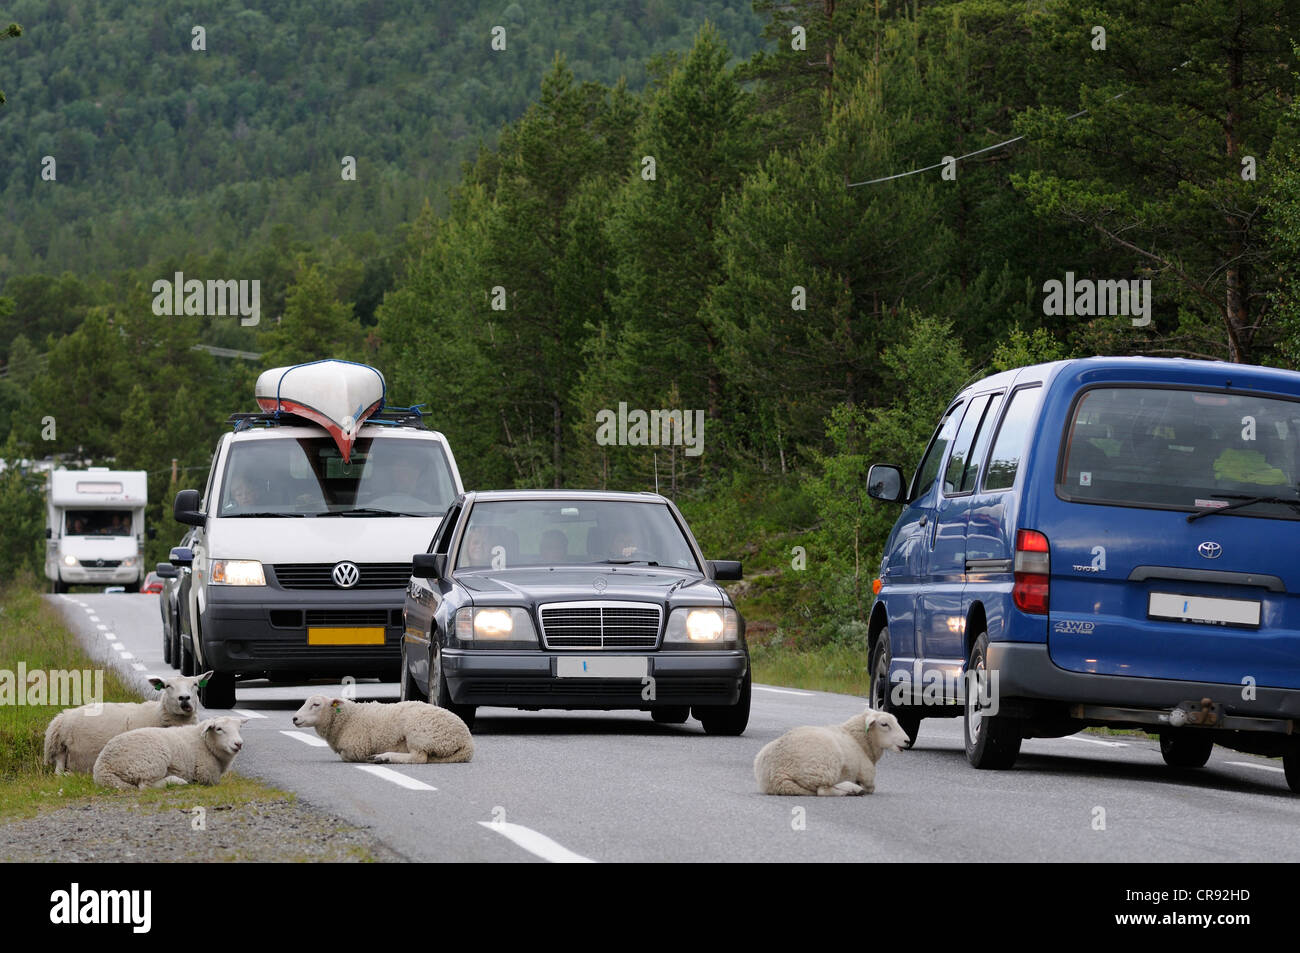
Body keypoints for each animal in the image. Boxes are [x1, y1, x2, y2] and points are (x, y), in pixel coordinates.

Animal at [43, 670, 211, 774]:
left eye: (195, 684)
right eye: (167, 686)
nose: (184, 698)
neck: (157, 713)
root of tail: (63, 716)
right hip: (58, 749)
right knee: (58, 770)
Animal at [92, 712, 248, 790]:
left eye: (239, 727)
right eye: (219, 729)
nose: (238, 744)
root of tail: (103, 766)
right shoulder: (207, 777)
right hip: (151, 762)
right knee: (146, 786)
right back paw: (177, 781)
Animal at [292, 691, 475, 764]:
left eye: (316, 704)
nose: (295, 718)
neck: (348, 718)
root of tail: (467, 741)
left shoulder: (357, 748)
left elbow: (347, 757)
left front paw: (369, 758)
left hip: (420, 734)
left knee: (418, 758)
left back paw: (384, 757)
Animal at [754, 707, 915, 795]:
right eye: (884, 724)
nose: (907, 741)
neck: (858, 740)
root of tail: (777, 774)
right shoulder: (867, 775)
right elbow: (871, 787)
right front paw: (859, 786)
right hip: (824, 766)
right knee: (823, 790)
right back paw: (853, 789)